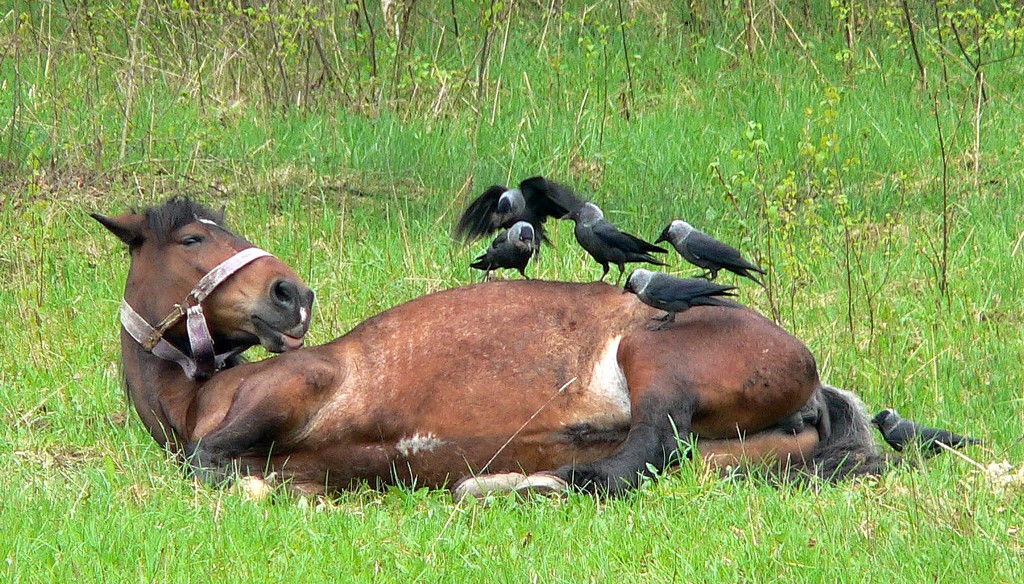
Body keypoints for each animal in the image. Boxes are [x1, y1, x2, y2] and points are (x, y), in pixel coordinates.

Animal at [96, 197, 974, 497]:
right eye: (195, 238)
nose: (291, 293)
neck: (198, 395)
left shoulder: (292, 391)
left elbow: (207, 464)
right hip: (741, 452)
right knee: (677, 461)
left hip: (655, 360)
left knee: (639, 454)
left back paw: (538, 481)